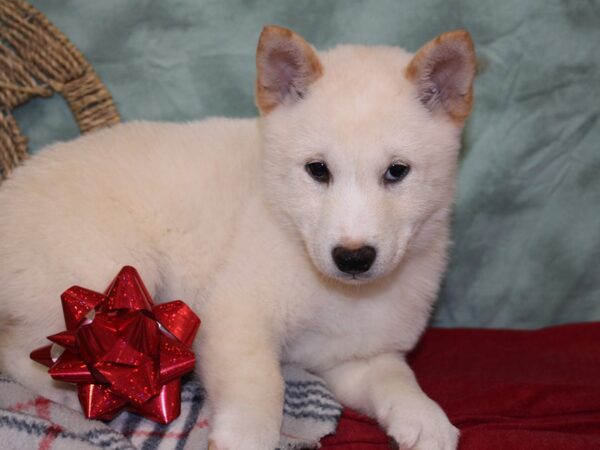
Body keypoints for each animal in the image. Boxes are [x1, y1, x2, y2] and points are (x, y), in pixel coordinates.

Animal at [1, 25, 478, 450]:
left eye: (397, 172)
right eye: (317, 170)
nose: (353, 257)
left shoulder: (355, 358)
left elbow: (398, 379)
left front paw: (425, 418)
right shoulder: (236, 316)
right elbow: (263, 384)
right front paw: (246, 436)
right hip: (108, 274)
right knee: (19, 353)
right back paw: (74, 397)